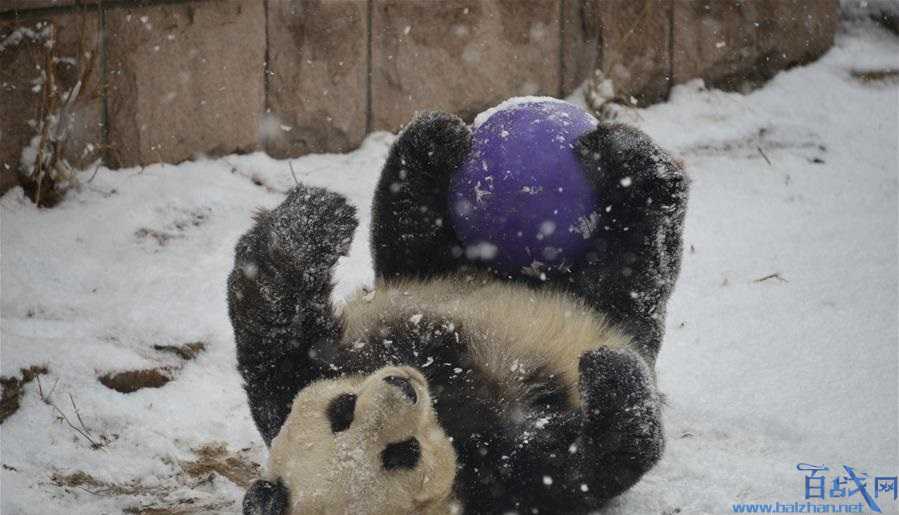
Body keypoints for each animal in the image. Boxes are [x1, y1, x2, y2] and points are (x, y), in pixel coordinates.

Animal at [230, 113, 688, 515]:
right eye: (402, 454)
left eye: (342, 409)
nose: (402, 385)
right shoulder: (500, 480)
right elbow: (589, 464)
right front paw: (609, 373)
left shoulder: (310, 371)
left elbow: (273, 333)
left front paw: (308, 224)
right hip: (618, 300)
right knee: (636, 263)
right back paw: (636, 163)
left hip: (437, 275)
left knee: (413, 233)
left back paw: (433, 142)